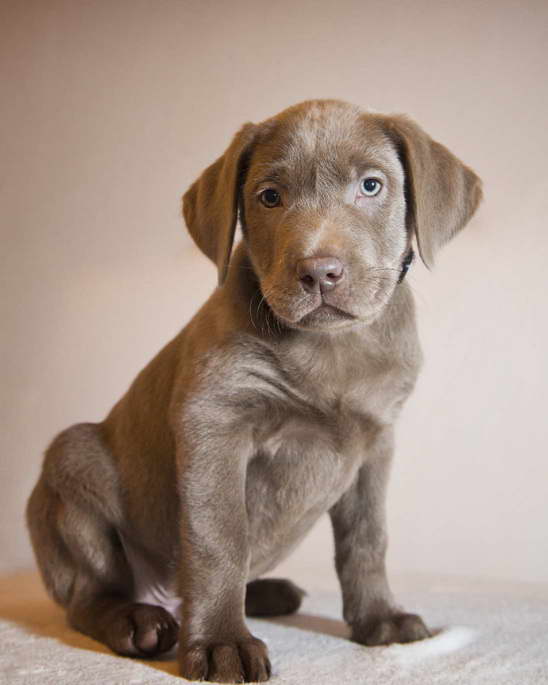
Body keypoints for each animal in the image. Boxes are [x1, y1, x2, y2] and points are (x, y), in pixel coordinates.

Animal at [26, 99, 480, 680]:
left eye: (371, 186)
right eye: (269, 196)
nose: (319, 272)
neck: (330, 347)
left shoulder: (376, 442)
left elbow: (367, 539)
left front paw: (379, 620)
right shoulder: (215, 422)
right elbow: (220, 537)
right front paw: (222, 644)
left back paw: (266, 593)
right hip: (74, 464)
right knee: (88, 595)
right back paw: (137, 622)